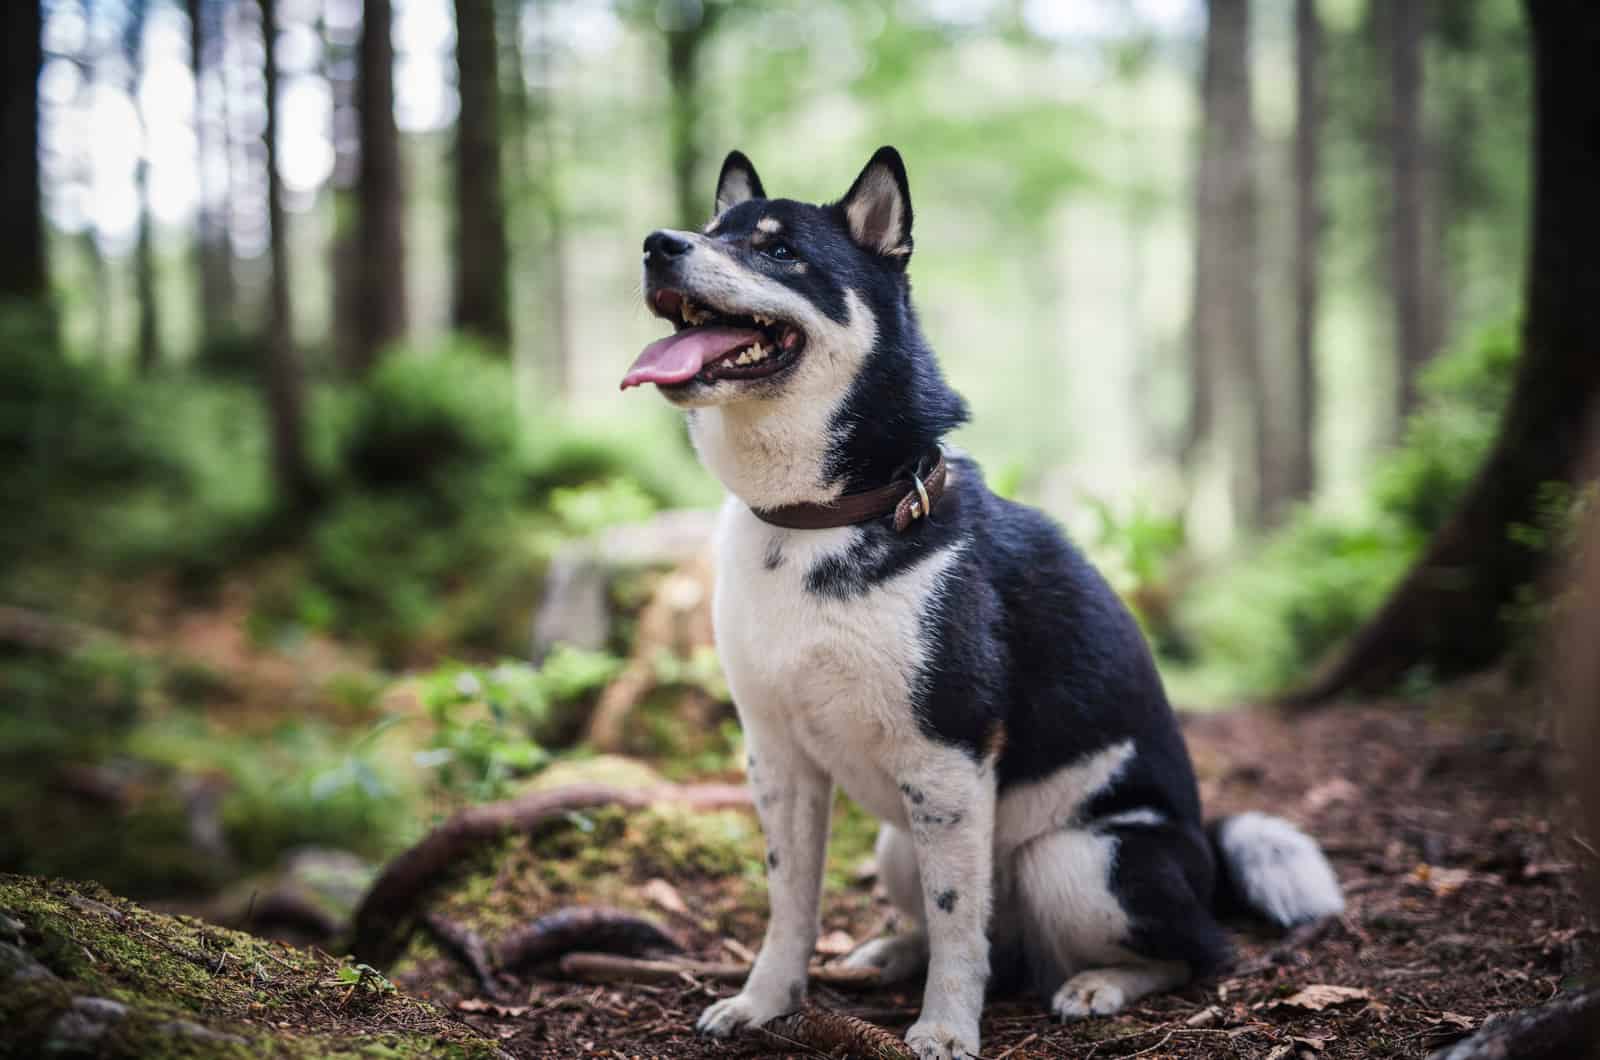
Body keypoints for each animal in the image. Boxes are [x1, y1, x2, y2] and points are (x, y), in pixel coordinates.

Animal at [617, 147, 1344, 1060]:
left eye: (779, 251)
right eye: (710, 229)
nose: (656, 244)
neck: (825, 517)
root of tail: (1204, 861)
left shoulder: (947, 760)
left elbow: (961, 924)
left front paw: (944, 1030)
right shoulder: (777, 758)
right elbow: (792, 904)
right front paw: (766, 1002)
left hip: (1076, 858)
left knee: (1193, 952)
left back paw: (1099, 983)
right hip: (900, 841)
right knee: (965, 927)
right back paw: (891, 952)